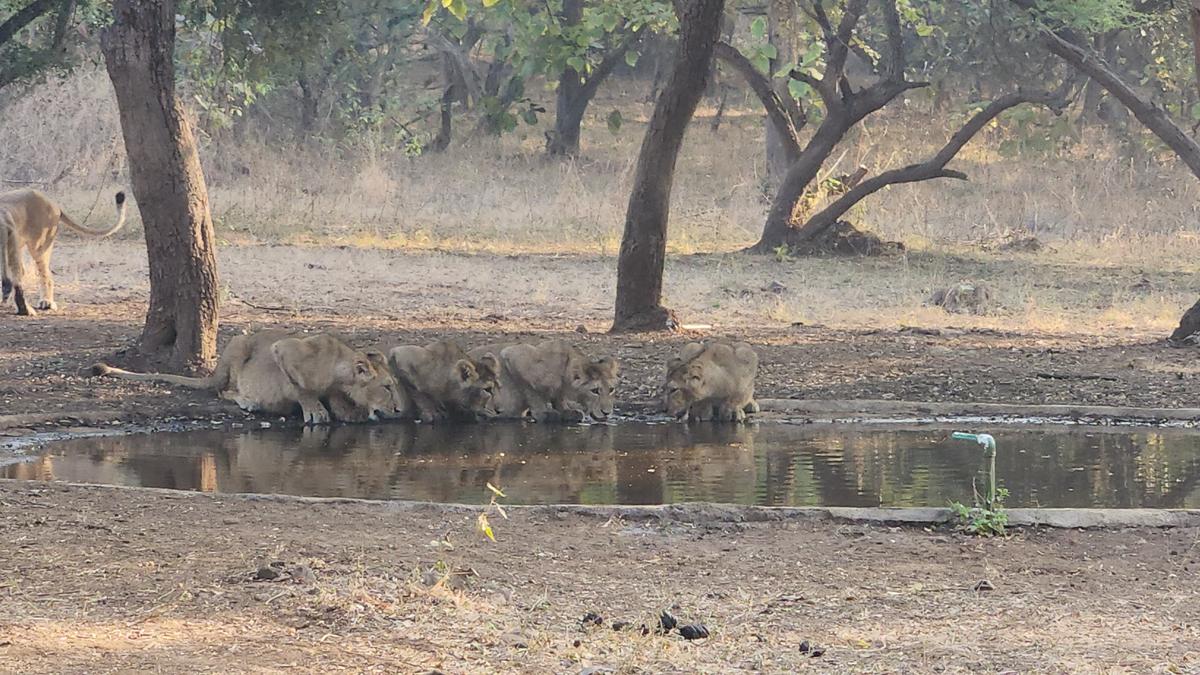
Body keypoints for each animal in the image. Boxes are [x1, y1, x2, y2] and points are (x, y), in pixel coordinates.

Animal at [91, 330, 405, 425]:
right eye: (387, 387)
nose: (400, 410)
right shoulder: (283, 350)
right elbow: (300, 388)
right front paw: (315, 410)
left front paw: (345, 409)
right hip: (238, 345)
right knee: (222, 390)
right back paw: (248, 401)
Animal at [469, 339, 619, 422]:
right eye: (595, 391)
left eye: (611, 390)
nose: (607, 413)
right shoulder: (513, 355)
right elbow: (531, 392)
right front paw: (543, 413)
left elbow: (559, 399)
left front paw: (566, 410)